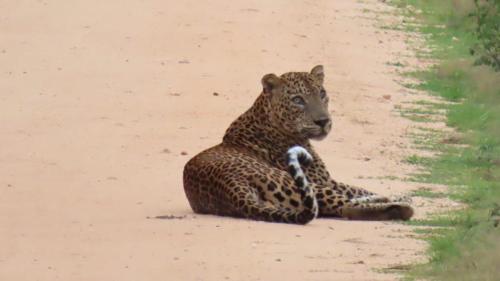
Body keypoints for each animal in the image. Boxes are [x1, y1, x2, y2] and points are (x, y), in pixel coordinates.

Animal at [184, 65, 414, 223]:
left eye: (322, 93)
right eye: (297, 100)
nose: (323, 121)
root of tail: (231, 188)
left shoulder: (330, 180)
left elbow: (359, 189)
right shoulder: (322, 180)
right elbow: (356, 192)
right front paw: (397, 197)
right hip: (299, 183)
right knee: (345, 207)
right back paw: (400, 208)